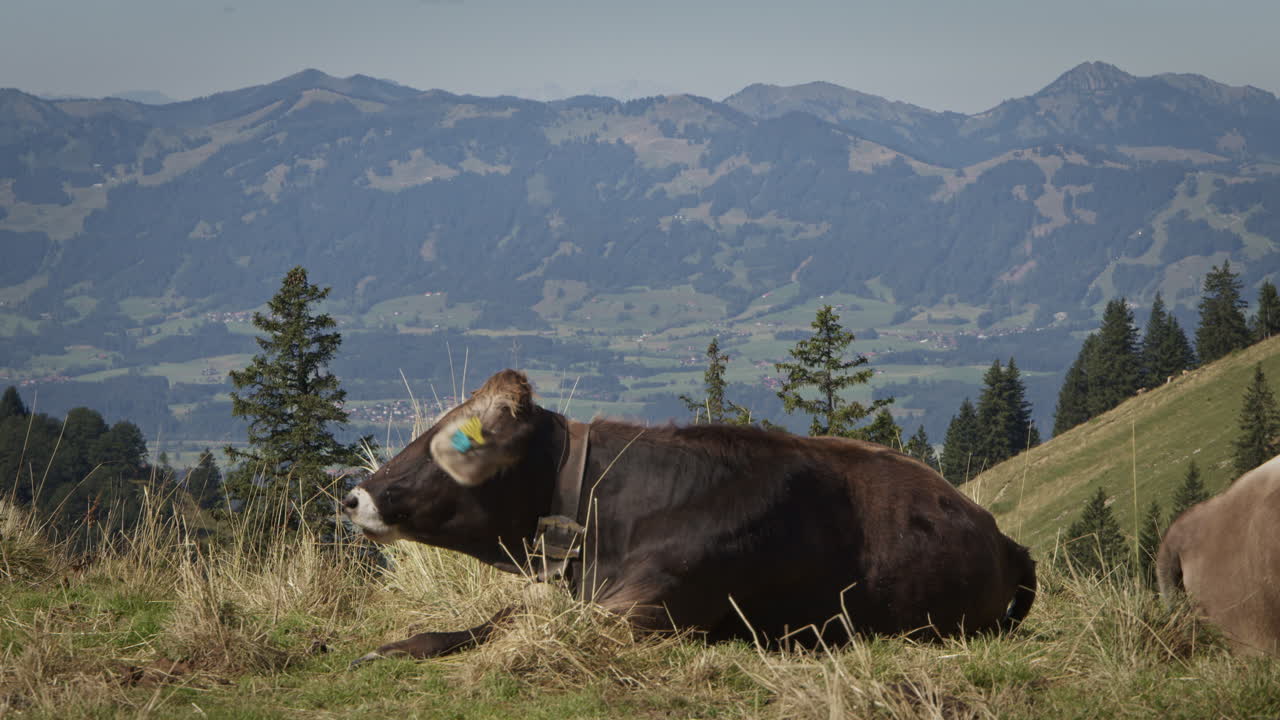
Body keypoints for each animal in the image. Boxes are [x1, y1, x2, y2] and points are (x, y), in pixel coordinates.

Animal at [341, 369, 1037, 664]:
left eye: (456, 441)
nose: (354, 495)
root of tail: (1004, 538)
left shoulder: (643, 615)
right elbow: (496, 621)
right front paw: (396, 645)